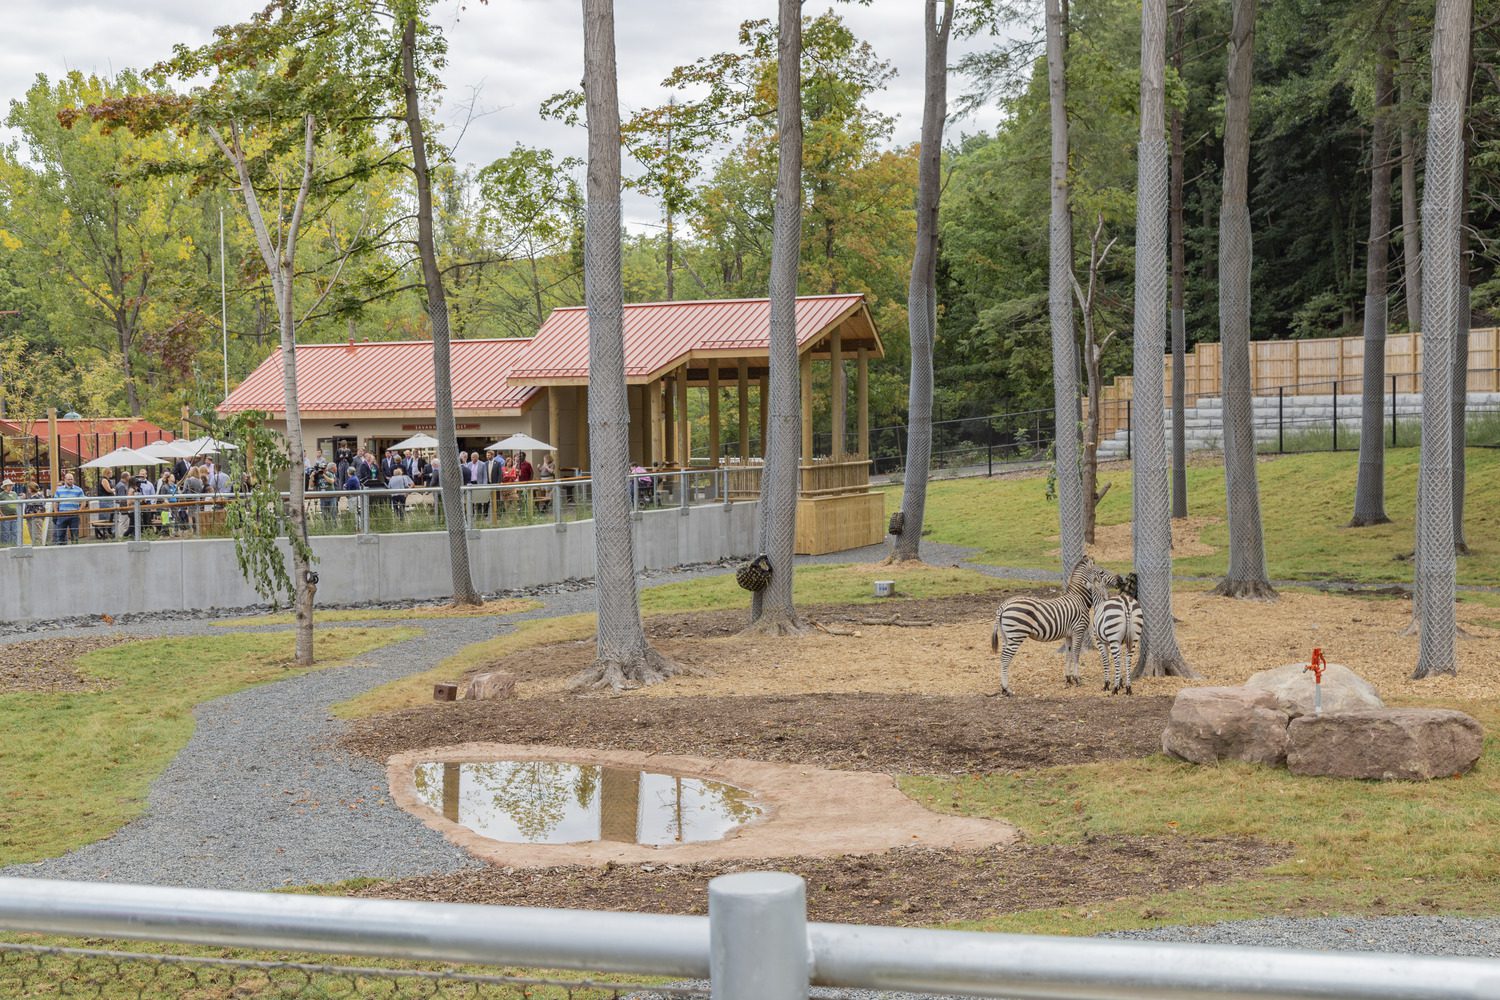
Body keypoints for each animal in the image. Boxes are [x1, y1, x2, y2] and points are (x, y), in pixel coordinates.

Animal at [989, 557, 1112, 697]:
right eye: (1101, 572)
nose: (1119, 579)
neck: (1079, 599)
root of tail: (1004, 605)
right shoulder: (1078, 630)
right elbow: (1076, 654)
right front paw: (1077, 679)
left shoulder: (1068, 634)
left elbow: (1068, 654)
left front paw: (1068, 679)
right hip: (1016, 635)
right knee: (1005, 658)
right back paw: (1007, 689)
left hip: (1006, 636)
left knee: (1002, 657)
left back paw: (1003, 688)